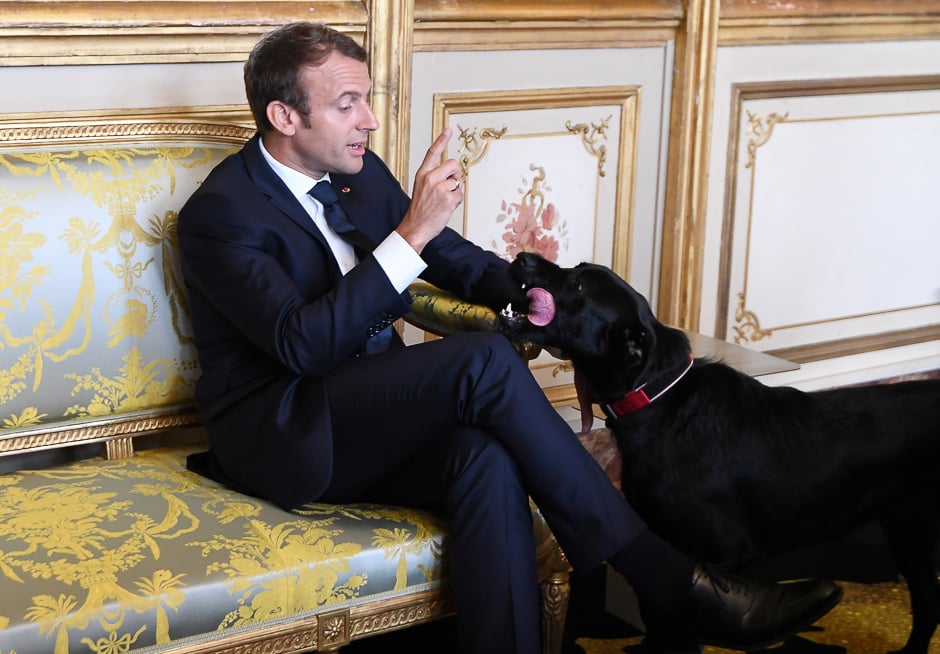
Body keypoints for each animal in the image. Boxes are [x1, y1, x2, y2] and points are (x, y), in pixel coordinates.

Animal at [504, 252, 940, 654]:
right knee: (927, 606)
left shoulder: (717, 551)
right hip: (908, 529)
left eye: (578, 285)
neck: (658, 398)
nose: (523, 257)